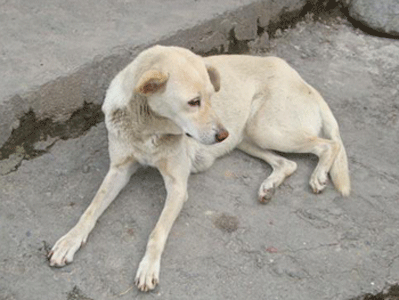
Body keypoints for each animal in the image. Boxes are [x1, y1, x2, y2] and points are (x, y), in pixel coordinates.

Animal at [48, 45, 352, 292]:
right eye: (194, 102)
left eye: (211, 96)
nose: (222, 134)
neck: (148, 128)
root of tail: (301, 79)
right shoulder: (119, 169)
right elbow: (91, 209)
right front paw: (69, 241)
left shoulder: (177, 186)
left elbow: (157, 232)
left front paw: (148, 267)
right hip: (247, 137)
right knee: (288, 162)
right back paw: (269, 186)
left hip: (264, 129)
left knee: (329, 145)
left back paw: (319, 176)